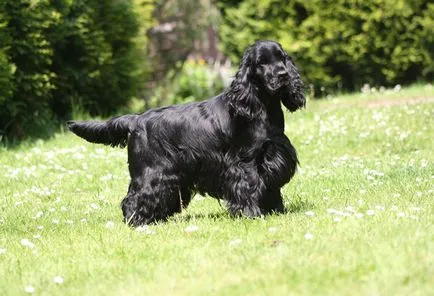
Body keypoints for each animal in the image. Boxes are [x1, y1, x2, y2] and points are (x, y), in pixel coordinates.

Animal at [68, 40, 306, 225]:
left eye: (282, 58)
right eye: (261, 62)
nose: (283, 74)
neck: (262, 107)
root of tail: (136, 119)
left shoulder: (274, 155)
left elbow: (271, 187)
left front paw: (277, 211)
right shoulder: (245, 162)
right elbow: (250, 187)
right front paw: (253, 215)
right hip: (150, 172)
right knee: (132, 199)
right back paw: (137, 222)